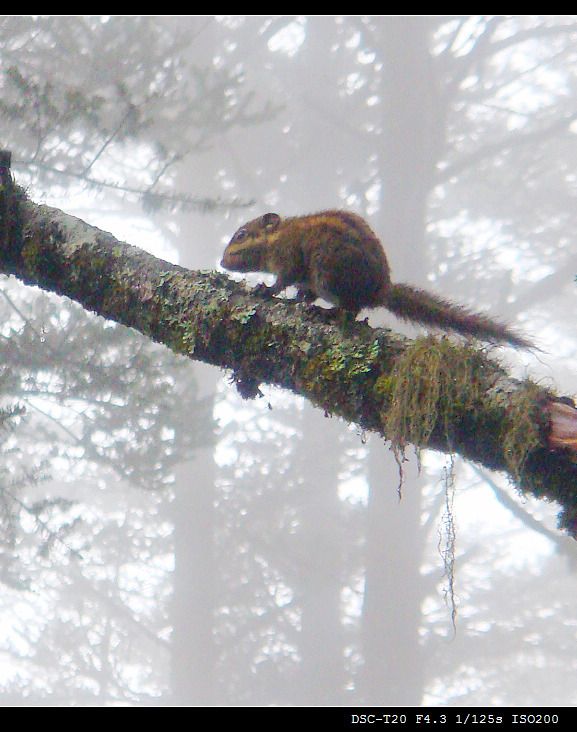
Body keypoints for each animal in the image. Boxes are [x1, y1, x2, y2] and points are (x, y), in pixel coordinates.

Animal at [219, 210, 532, 350]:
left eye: (242, 235)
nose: (222, 262)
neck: (276, 238)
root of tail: (383, 290)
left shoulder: (289, 259)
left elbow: (282, 281)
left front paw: (266, 290)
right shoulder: (305, 280)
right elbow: (303, 291)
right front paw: (299, 298)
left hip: (329, 273)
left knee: (352, 308)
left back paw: (329, 312)